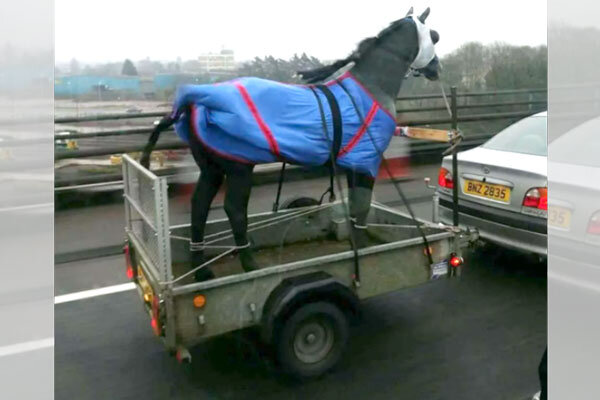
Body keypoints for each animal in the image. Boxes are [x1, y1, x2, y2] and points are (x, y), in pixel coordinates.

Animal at [141, 7, 440, 282]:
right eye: (435, 36)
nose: (437, 68)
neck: (370, 88)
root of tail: (195, 100)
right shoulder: (367, 161)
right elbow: (362, 205)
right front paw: (364, 246)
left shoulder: (355, 162)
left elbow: (356, 205)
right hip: (238, 167)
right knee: (234, 210)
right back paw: (250, 265)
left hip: (212, 167)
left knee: (199, 205)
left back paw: (201, 269)